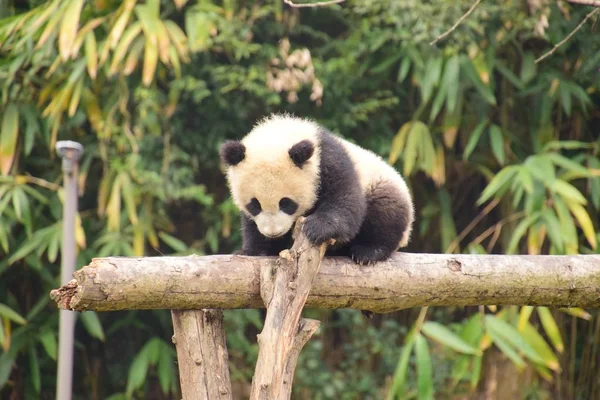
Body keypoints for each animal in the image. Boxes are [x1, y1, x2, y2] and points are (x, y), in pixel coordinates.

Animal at [219, 114, 412, 264]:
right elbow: (251, 225)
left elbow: (346, 200)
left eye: (286, 203)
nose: (274, 233)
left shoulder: (328, 160)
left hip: (381, 183)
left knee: (385, 212)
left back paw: (369, 251)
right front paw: (253, 250)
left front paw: (316, 227)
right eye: (255, 205)